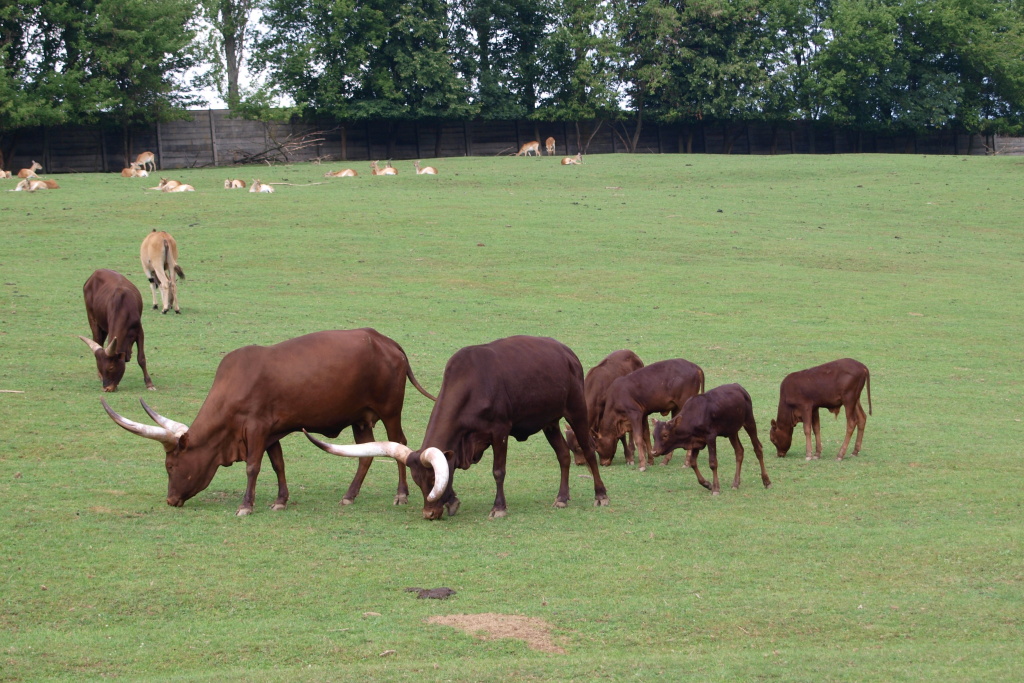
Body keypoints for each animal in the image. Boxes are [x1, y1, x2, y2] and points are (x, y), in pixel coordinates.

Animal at [100, 329, 436, 515]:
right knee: (366, 454)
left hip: (389, 411)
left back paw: (401, 494)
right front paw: (280, 501)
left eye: (170, 466)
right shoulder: (271, 432)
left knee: (399, 444)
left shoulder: (256, 429)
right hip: (361, 418)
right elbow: (278, 464)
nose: (170, 500)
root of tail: (384, 341)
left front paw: (246, 505)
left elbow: (253, 466)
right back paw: (349, 496)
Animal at [304, 335, 611, 520]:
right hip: (549, 421)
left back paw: (601, 495)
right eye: (419, 482)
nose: (429, 514)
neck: (473, 383)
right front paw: (451, 501)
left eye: (432, 480)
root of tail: (566, 352)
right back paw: (562, 498)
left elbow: (498, 471)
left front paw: (498, 508)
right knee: (563, 455)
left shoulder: (500, 432)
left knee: (587, 450)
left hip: (576, 411)